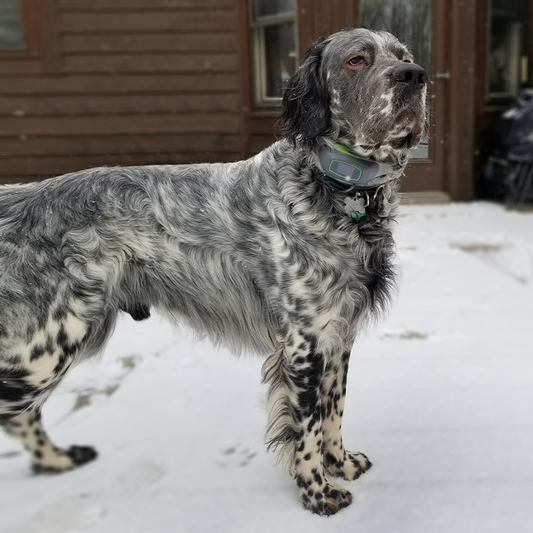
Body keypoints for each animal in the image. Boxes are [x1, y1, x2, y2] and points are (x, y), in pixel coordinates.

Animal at [0, 27, 424, 512]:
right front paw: (318, 493)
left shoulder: (337, 335)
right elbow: (308, 429)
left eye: (404, 56)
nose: (415, 76)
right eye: (357, 60)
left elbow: (333, 408)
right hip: (44, 346)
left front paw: (342, 464)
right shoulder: (305, 342)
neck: (336, 188)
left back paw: (57, 459)